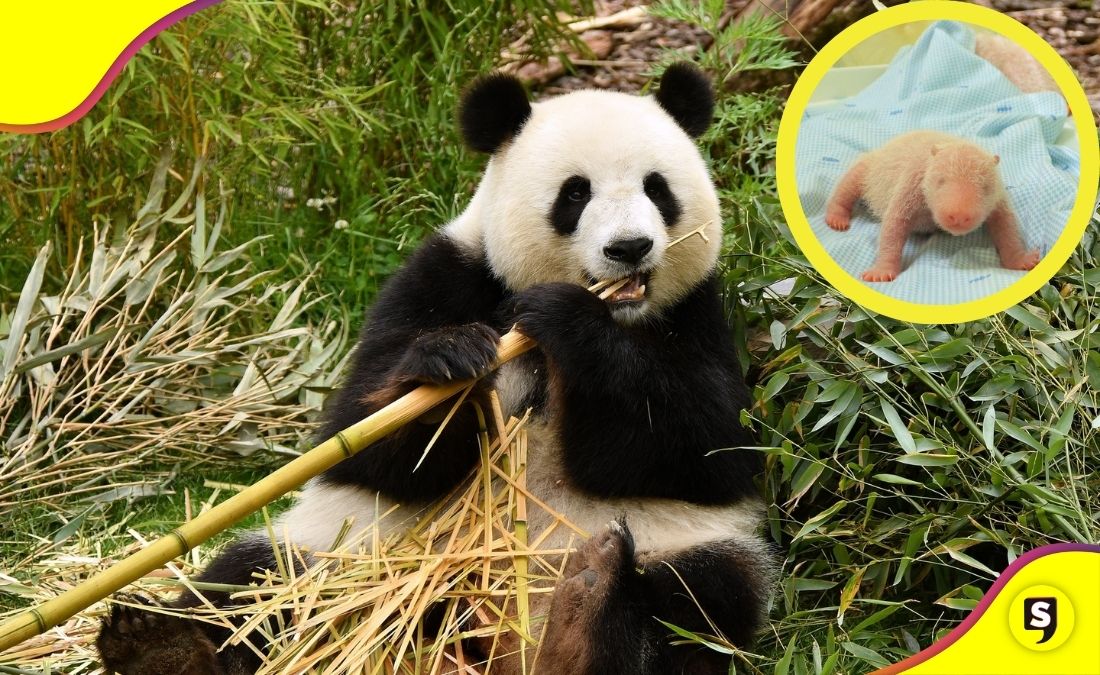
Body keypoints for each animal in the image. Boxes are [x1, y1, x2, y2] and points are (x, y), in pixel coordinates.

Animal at [97, 63, 775, 675]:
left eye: (657, 188)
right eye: (575, 193)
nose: (630, 248)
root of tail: (505, 645)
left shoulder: (699, 314)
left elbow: (709, 444)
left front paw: (571, 321)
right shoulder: (447, 275)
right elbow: (362, 437)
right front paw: (448, 364)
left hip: (678, 544)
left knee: (699, 603)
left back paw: (585, 615)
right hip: (349, 549)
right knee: (256, 583)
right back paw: (161, 647)